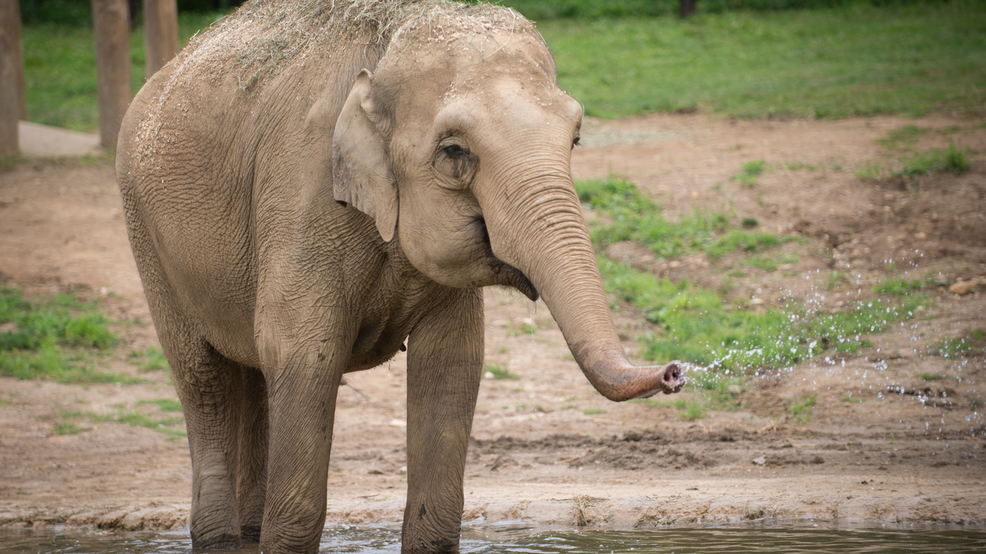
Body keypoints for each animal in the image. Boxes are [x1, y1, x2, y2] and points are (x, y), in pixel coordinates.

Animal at [115, 0, 680, 548]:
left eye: (576, 139)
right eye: (454, 151)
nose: (675, 372)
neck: (388, 43)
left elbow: (451, 363)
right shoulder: (301, 190)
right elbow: (304, 356)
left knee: (250, 374)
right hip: (146, 235)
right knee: (202, 376)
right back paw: (217, 533)